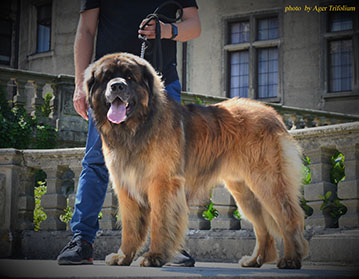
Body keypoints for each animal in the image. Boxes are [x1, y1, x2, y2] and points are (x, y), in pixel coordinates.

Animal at [84, 52, 310, 270]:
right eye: (106, 78)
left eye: (130, 77)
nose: (117, 86)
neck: (136, 127)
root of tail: (272, 114)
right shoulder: (126, 186)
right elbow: (130, 227)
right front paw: (123, 257)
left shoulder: (162, 183)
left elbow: (159, 222)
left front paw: (154, 257)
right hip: (245, 191)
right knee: (263, 227)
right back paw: (256, 260)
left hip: (267, 181)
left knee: (289, 217)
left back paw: (291, 259)